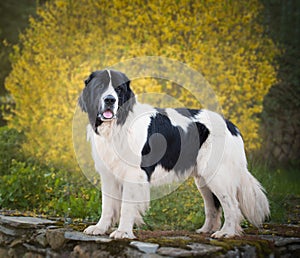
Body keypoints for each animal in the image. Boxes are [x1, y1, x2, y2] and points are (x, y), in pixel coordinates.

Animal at [78, 69, 270, 239]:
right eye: (100, 86)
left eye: (119, 89)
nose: (110, 100)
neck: (117, 126)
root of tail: (232, 126)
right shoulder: (108, 174)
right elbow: (107, 205)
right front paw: (100, 228)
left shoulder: (134, 174)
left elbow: (126, 206)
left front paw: (123, 232)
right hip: (203, 179)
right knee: (213, 206)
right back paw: (206, 230)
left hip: (218, 175)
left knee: (231, 204)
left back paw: (226, 233)